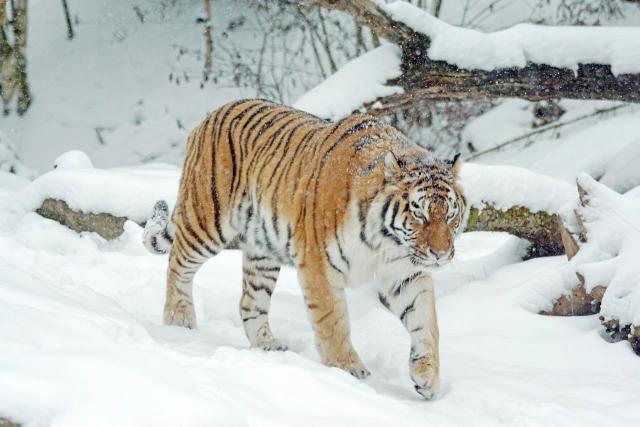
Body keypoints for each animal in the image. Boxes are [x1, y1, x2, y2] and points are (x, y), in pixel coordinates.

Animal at [143, 99, 467, 399]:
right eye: (419, 213)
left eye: (450, 214)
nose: (441, 254)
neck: (384, 241)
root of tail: (211, 115)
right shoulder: (319, 263)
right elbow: (333, 320)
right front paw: (347, 369)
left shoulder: (404, 271)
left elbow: (426, 320)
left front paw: (428, 377)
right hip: (207, 219)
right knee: (178, 264)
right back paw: (178, 322)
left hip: (262, 251)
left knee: (250, 301)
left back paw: (267, 345)